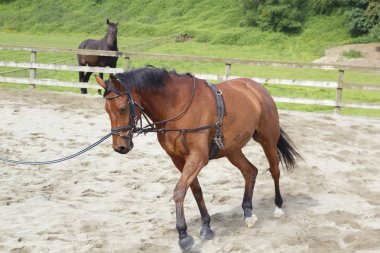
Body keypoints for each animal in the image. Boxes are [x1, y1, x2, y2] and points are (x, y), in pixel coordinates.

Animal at [94, 67, 300, 251]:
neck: (176, 106)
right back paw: (248, 213)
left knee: (274, 170)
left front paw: (183, 236)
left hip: (267, 140)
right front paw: (206, 226)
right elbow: (195, 190)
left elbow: (179, 192)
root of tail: (257, 87)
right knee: (250, 171)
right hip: (232, 150)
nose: (120, 147)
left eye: (122, 109)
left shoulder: (198, 157)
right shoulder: (179, 159)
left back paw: (278, 207)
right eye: (106, 110)